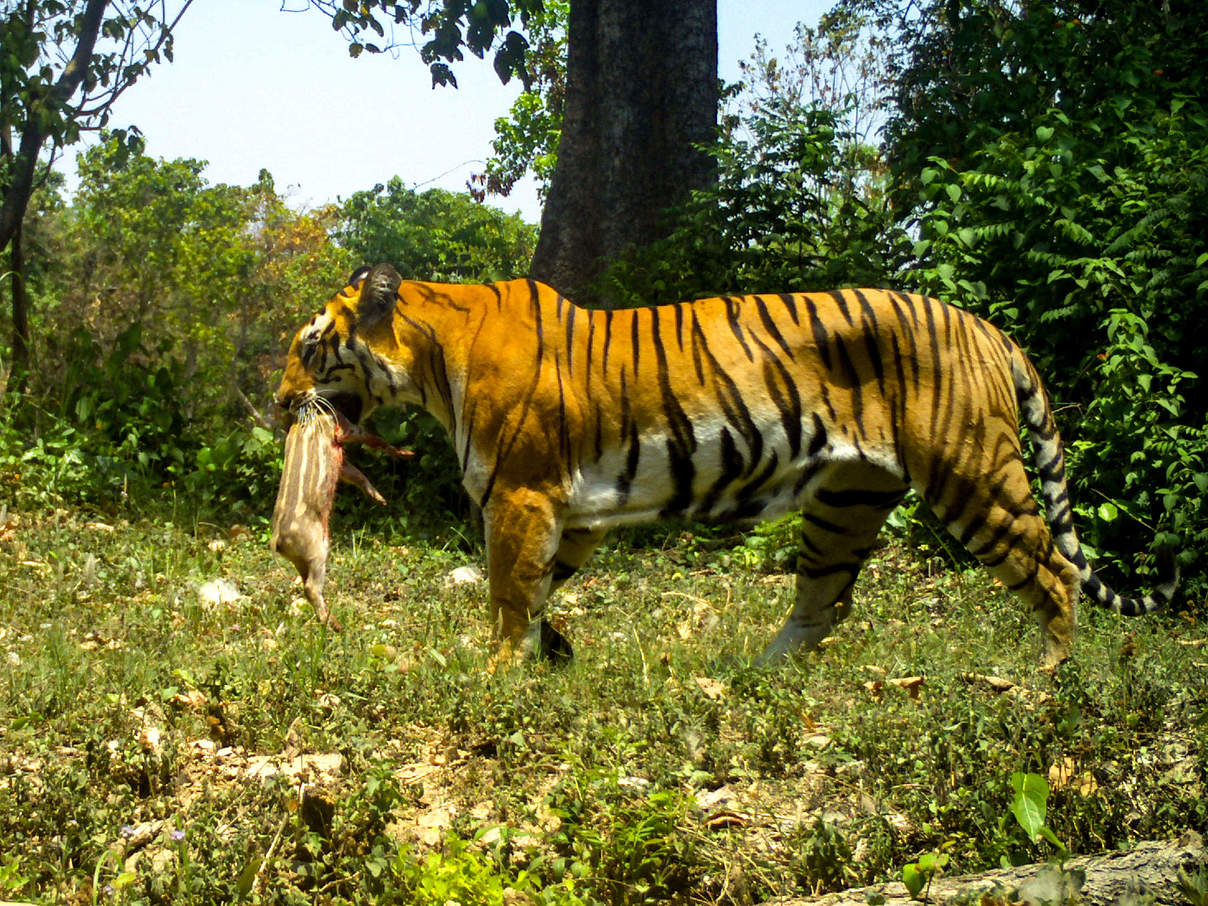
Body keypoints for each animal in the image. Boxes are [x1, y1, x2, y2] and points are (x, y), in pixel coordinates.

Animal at [276, 264, 1179, 676]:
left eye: (306, 347)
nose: (280, 402)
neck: (431, 356)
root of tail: (990, 327)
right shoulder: (570, 514)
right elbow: (539, 588)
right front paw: (549, 651)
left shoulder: (522, 496)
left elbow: (506, 592)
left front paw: (499, 671)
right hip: (847, 505)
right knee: (824, 604)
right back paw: (751, 675)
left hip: (971, 476)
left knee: (1052, 569)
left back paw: (1041, 678)